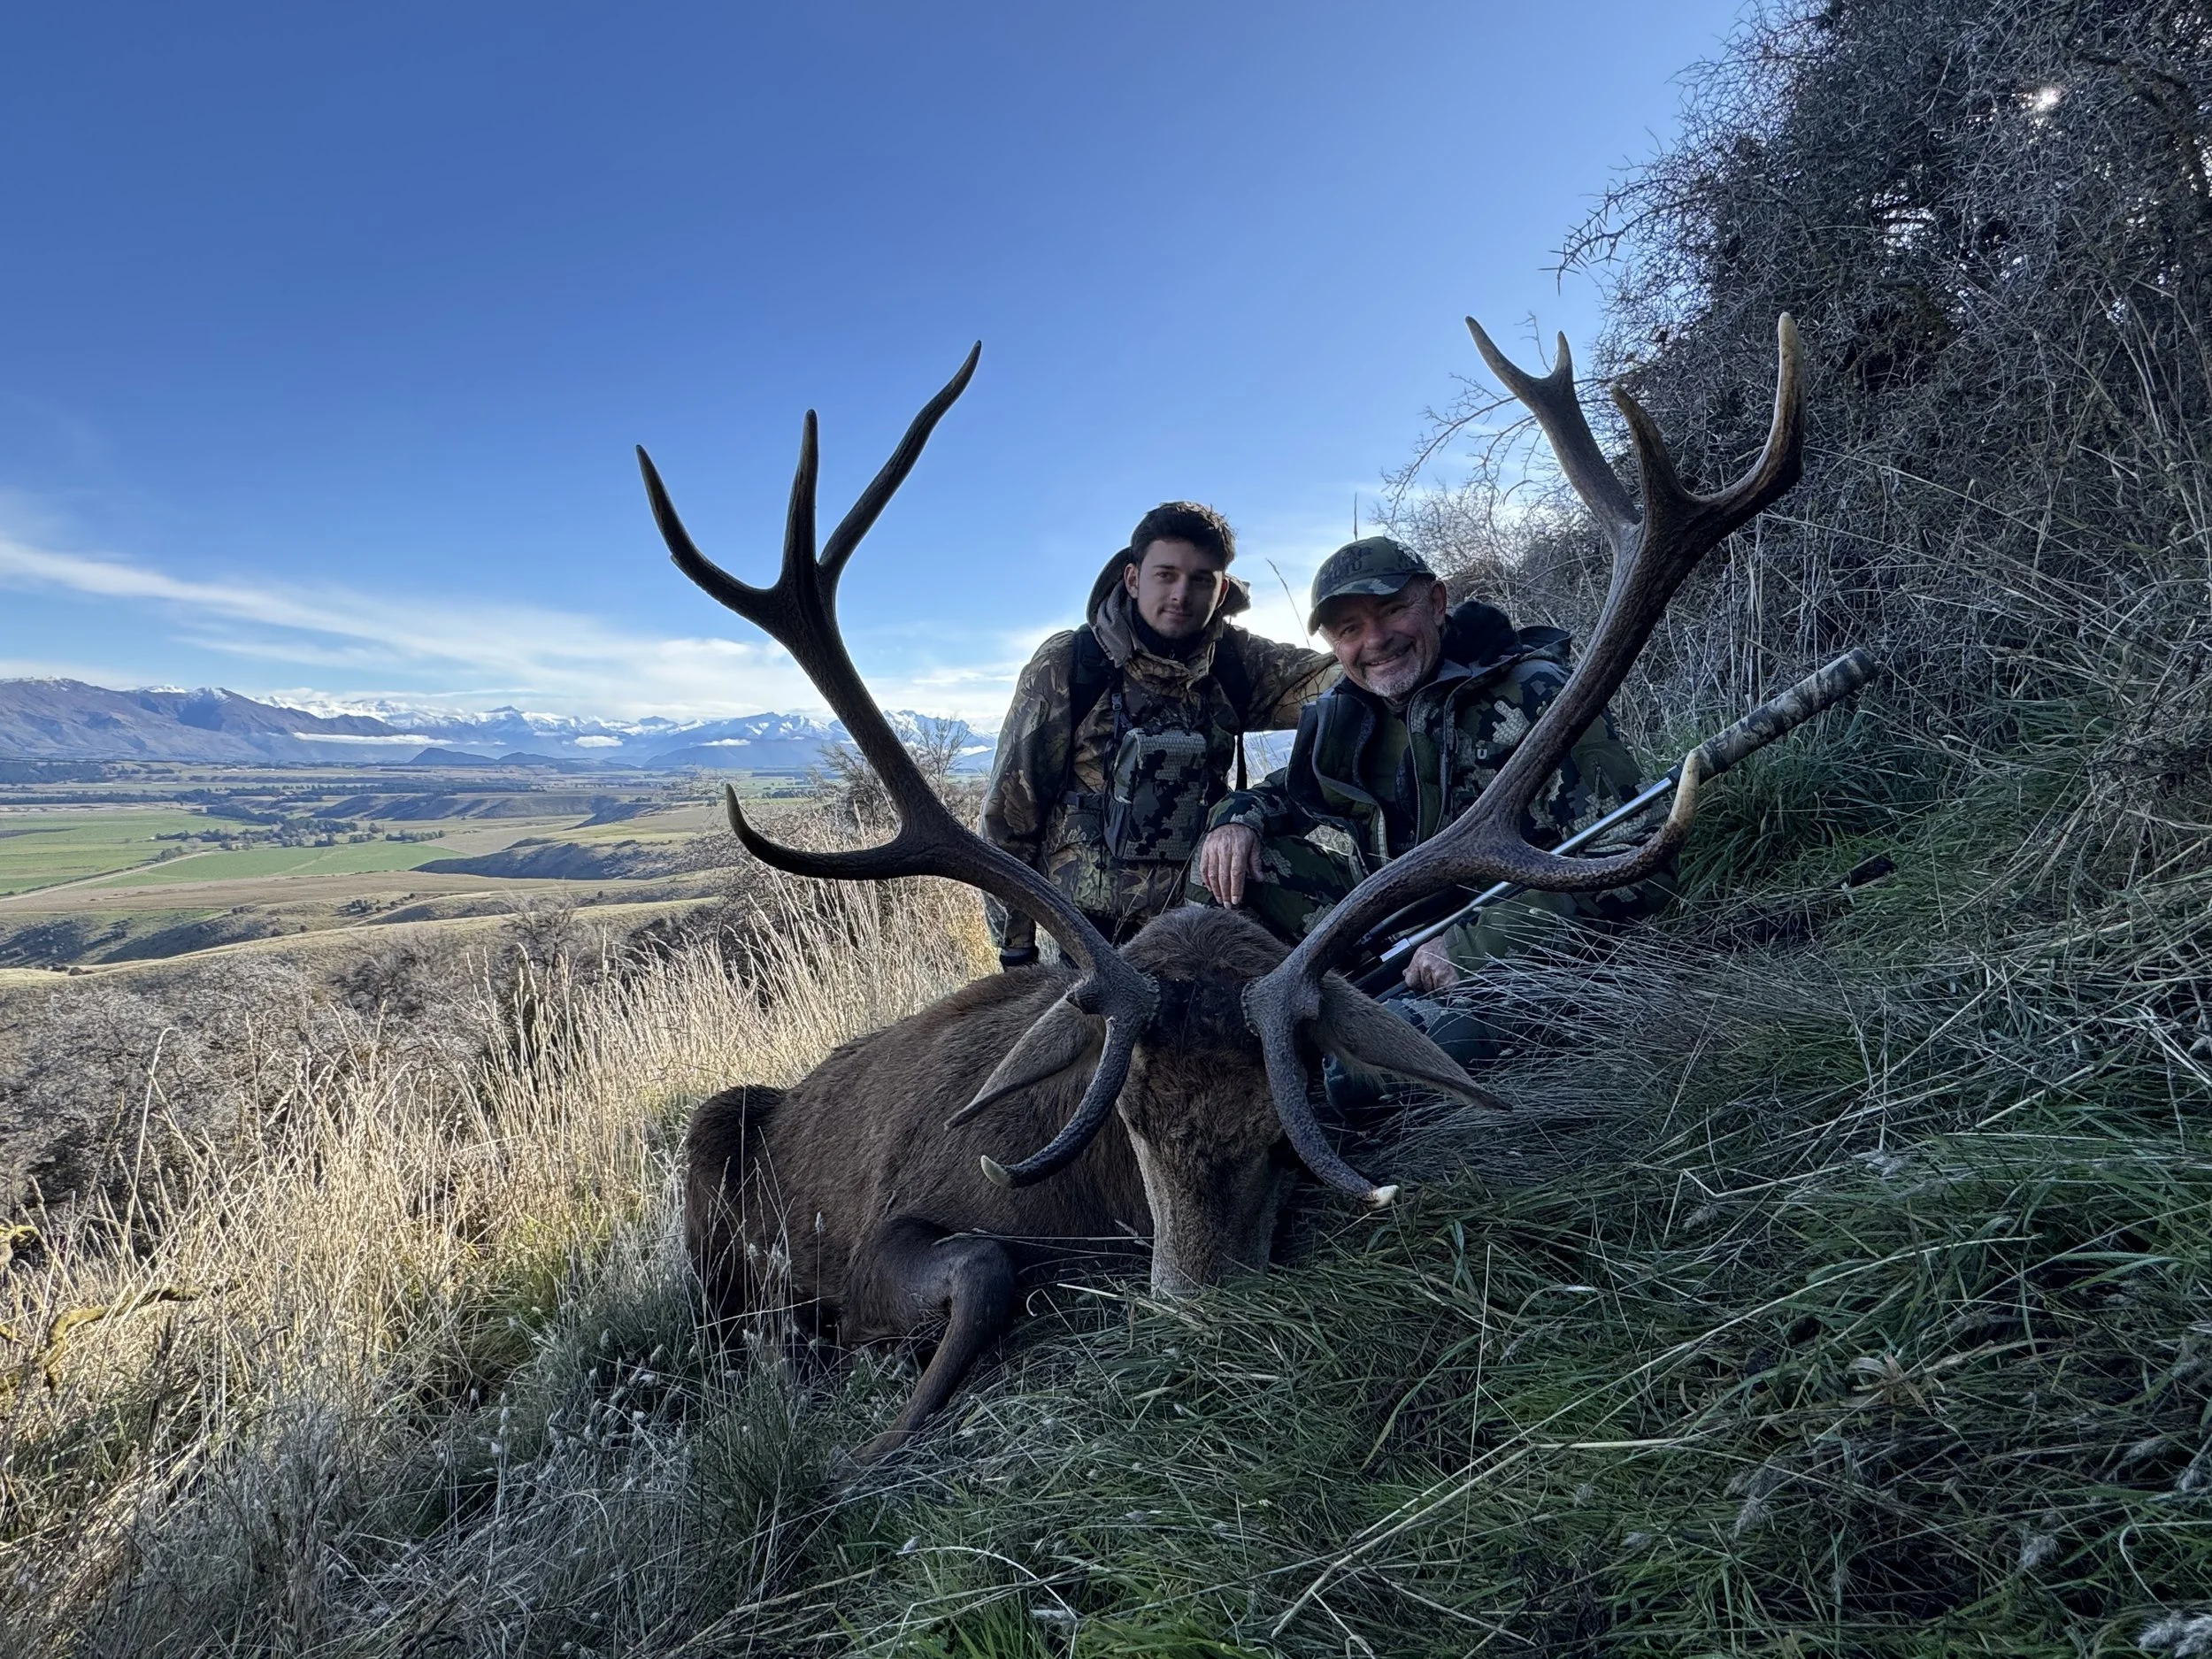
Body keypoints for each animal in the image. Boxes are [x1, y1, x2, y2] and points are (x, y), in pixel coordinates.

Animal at [641, 314, 1803, 1461]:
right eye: (1128, 1117)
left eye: (1287, 1132)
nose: (1197, 1323)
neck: (1081, 1197)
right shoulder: (888, 1220)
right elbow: (982, 1262)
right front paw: (874, 1434)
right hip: (709, 1140)